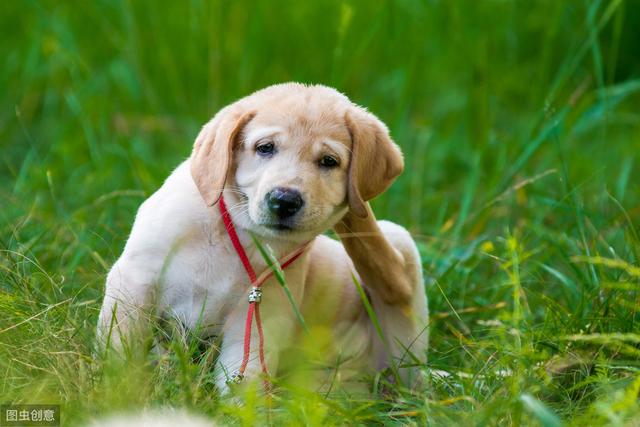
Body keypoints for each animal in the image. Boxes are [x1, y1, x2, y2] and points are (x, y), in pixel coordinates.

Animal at [99, 82, 430, 392]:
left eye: (329, 161)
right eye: (265, 148)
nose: (284, 200)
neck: (236, 232)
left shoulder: (259, 318)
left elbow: (244, 385)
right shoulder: (136, 280)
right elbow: (121, 348)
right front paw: (116, 390)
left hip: (399, 277)